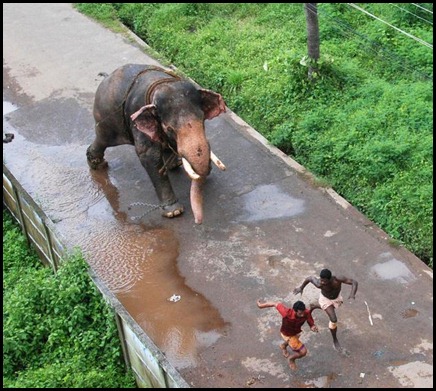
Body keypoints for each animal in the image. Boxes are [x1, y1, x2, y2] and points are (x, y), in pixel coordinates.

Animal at [86, 63, 227, 224]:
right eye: (169, 128)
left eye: (203, 120)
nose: (198, 221)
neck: (163, 85)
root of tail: (107, 76)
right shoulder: (138, 120)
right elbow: (149, 156)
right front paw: (174, 212)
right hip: (107, 118)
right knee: (103, 139)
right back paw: (97, 164)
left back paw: (174, 164)